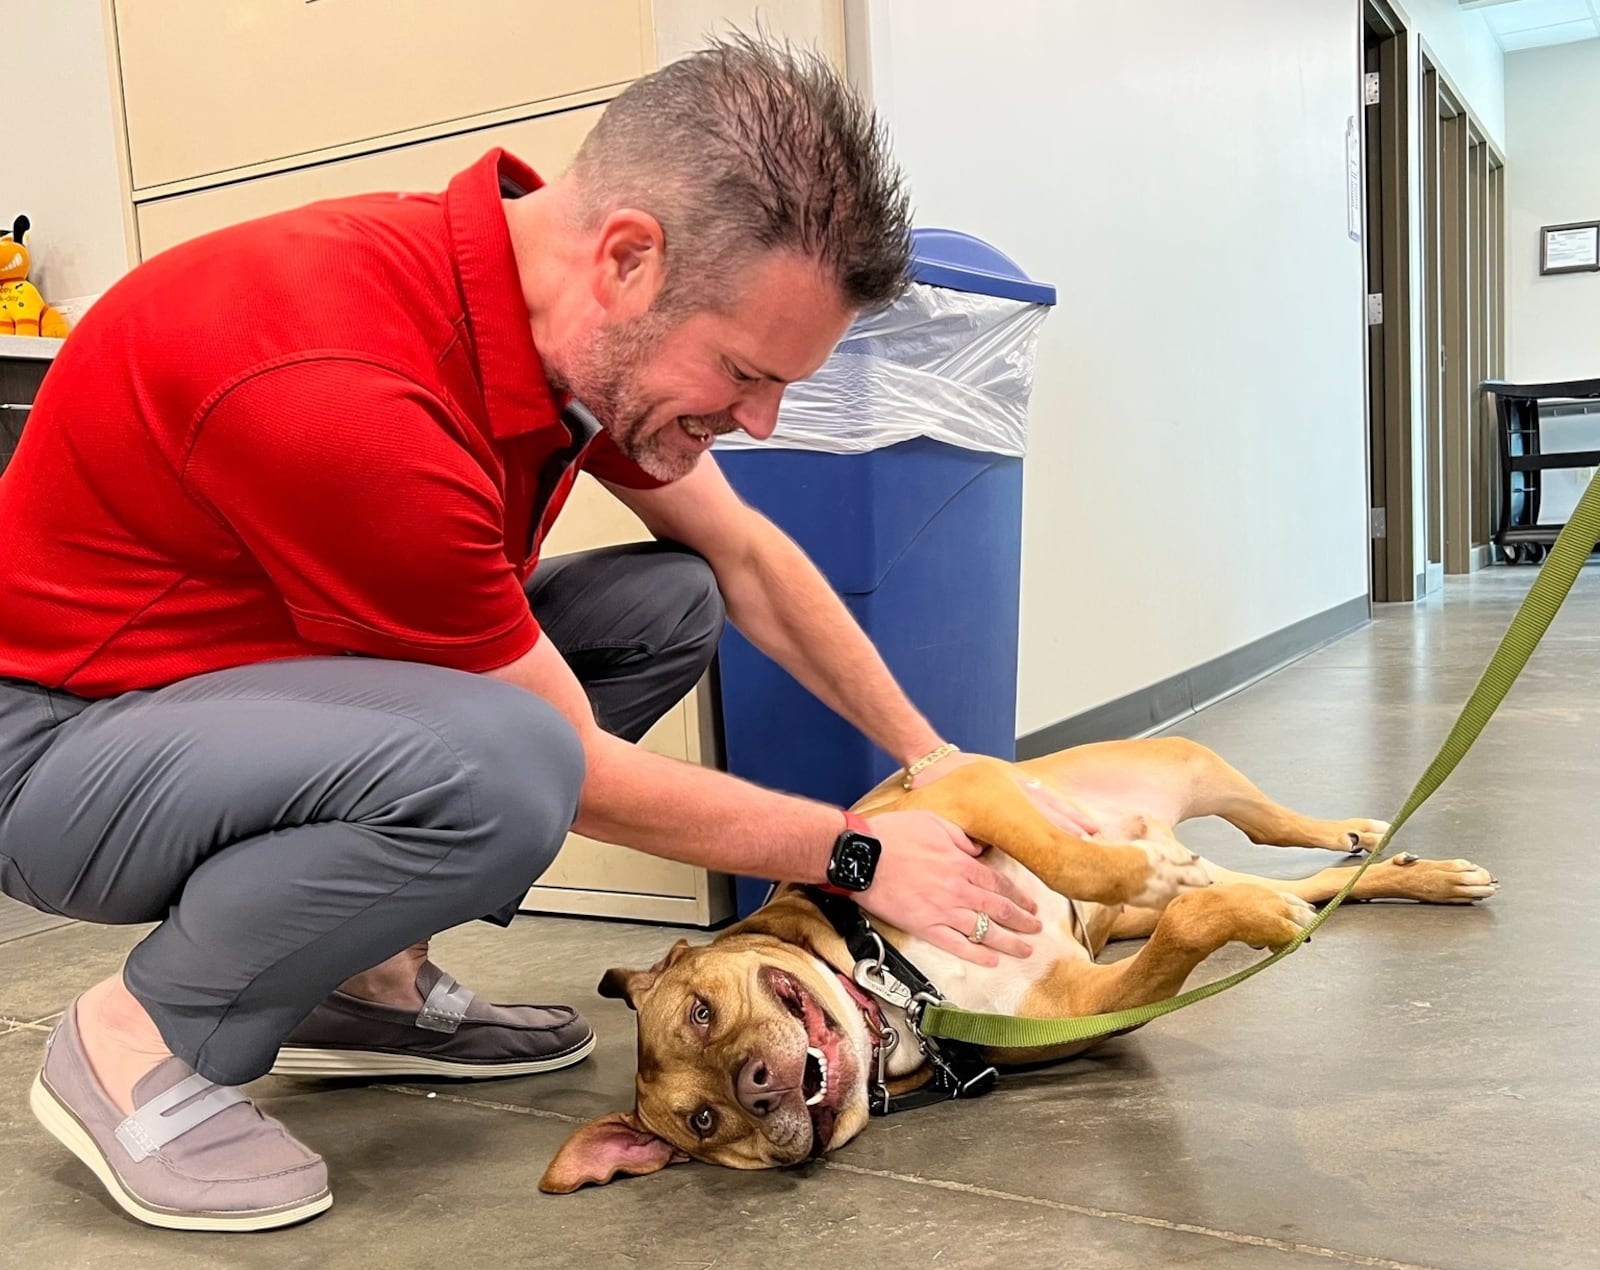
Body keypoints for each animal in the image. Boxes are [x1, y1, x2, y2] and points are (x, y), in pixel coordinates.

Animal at [540, 732, 1497, 1190]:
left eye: (702, 1010)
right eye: (705, 1123)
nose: (759, 1087)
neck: (892, 989)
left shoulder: (963, 804)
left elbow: (1069, 856)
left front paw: (1139, 865)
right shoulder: (1083, 999)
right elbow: (1185, 925)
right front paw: (1253, 918)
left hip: (1185, 766)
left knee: (1275, 829)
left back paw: (1361, 833)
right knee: (1299, 878)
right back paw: (1408, 874)